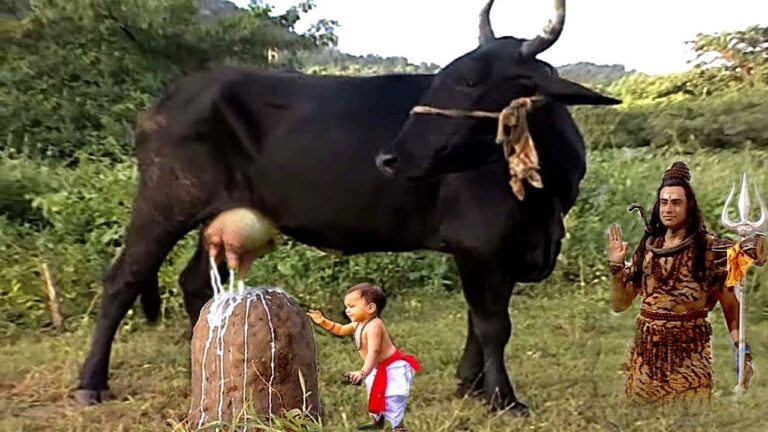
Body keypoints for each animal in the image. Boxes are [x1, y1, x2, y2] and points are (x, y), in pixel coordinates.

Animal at [75, 0, 619, 417]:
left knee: (194, 282)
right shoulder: (480, 243)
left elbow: (480, 319)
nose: (388, 157)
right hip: (165, 200)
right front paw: (505, 399)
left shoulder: (499, 251)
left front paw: (471, 386)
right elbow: (492, 324)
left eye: (472, 83)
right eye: (442, 77)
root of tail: (172, 95)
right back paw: (91, 382)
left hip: (218, 213)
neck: (546, 197)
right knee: (123, 279)